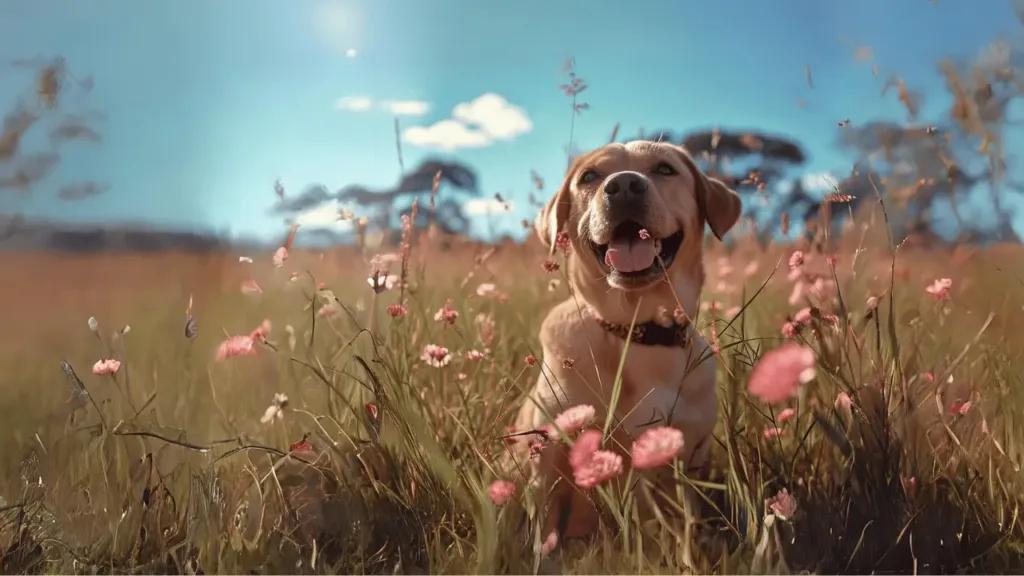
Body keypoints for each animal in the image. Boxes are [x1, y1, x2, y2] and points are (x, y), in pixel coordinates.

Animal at [507, 138, 741, 553]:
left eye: (664, 169)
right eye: (589, 176)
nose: (625, 187)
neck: (638, 331)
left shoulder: (687, 460)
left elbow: (685, 526)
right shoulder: (549, 459)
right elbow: (545, 534)